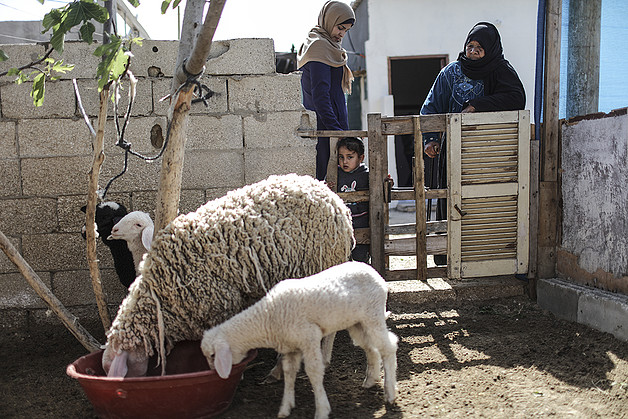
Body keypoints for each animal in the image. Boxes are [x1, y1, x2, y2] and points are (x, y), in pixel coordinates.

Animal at [104, 174, 354, 378]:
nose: (112, 231)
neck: (161, 291)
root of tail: (333, 197)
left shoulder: (220, 303)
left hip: (323, 263)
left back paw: (322, 358)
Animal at [201, 260, 398, 418]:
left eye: (213, 356)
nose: (214, 374)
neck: (268, 316)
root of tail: (373, 271)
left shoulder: (309, 337)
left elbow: (313, 372)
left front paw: (322, 410)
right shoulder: (291, 347)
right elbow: (289, 373)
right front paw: (285, 407)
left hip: (373, 315)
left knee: (389, 347)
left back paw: (390, 393)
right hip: (357, 323)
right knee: (371, 348)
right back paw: (370, 380)